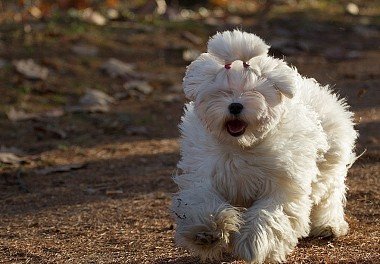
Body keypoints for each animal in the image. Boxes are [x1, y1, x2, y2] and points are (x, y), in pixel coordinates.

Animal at [171, 29, 358, 262]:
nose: (235, 106)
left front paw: (254, 241)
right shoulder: (203, 174)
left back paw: (329, 225)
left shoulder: (282, 184)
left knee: (329, 195)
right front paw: (207, 231)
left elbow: (270, 214)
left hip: (330, 163)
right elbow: (201, 200)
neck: (241, 146)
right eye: (222, 92)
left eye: (255, 91)